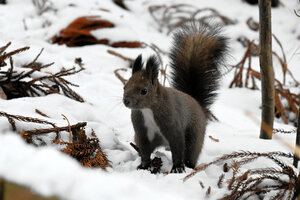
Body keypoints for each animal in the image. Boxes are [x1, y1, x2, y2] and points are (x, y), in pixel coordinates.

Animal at [122, 21, 227, 173]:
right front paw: (144, 166)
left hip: (194, 135)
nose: (126, 101)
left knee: (190, 151)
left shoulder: (173, 126)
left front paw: (177, 168)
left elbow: (177, 148)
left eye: (144, 91)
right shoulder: (142, 133)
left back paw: (188, 165)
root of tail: (198, 105)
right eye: (124, 86)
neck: (147, 110)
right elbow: (145, 152)